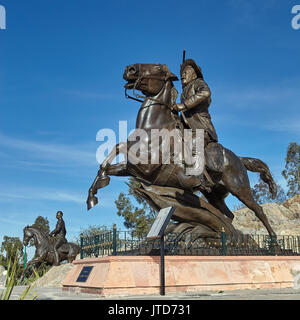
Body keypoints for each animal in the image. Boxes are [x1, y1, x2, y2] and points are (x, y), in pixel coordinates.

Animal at [87, 63, 278, 238]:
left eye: (157, 67)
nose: (129, 69)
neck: (152, 130)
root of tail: (238, 159)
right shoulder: (133, 168)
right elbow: (108, 163)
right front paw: (93, 196)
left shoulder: (147, 167)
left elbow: (119, 146)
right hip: (214, 194)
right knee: (228, 216)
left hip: (239, 188)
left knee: (258, 210)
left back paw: (273, 240)